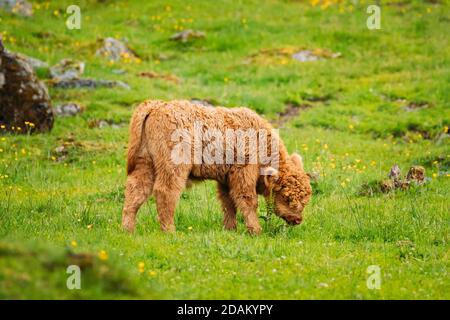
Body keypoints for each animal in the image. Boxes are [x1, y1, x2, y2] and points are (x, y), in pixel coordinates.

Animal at [121, 100, 312, 235]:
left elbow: (228, 203)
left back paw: (128, 230)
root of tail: (155, 106)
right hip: (173, 167)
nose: (297, 219)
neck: (261, 141)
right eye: (286, 197)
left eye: (305, 199)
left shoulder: (226, 179)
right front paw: (256, 231)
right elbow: (248, 201)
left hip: (145, 164)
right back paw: (170, 231)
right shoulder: (243, 175)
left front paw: (230, 229)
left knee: (136, 191)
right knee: (165, 192)